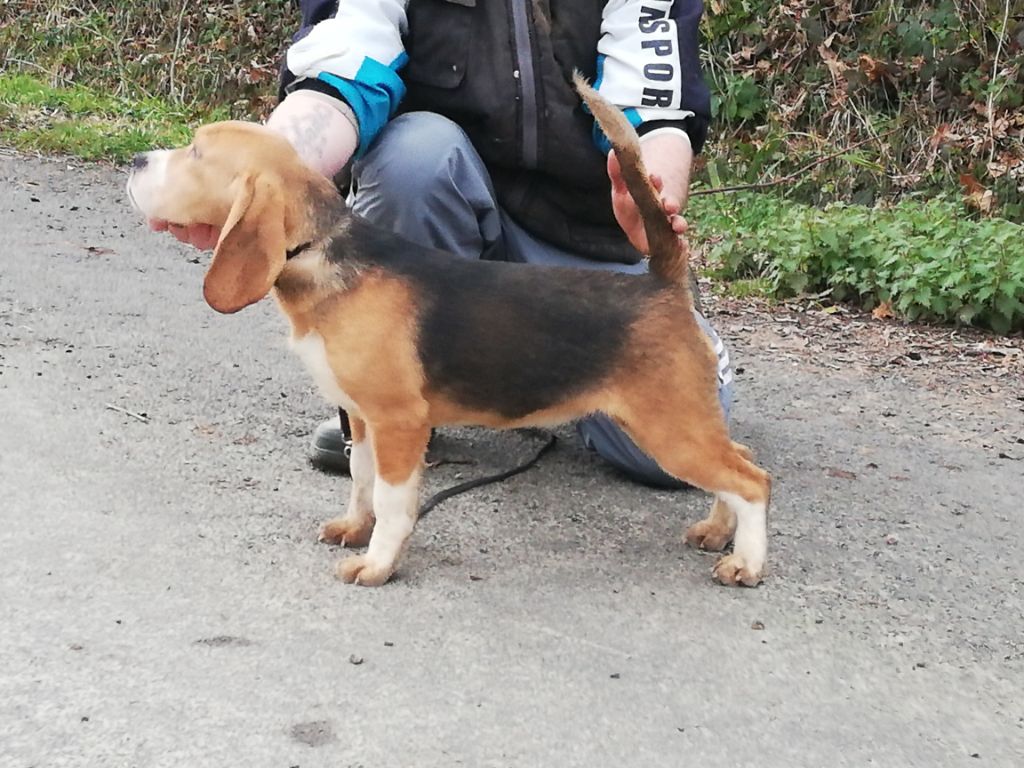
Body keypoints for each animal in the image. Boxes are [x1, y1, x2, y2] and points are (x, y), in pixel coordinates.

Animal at [125, 75, 770, 589]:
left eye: (197, 154)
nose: (135, 161)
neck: (322, 251)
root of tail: (662, 282)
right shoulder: (364, 418)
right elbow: (361, 479)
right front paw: (355, 529)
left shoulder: (398, 421)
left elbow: (392, 500)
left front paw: (377, 564)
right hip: (681, 423)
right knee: (737, 463)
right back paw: (717, 532)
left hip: (668, 428)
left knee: (753, 479)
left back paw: (747, 563)